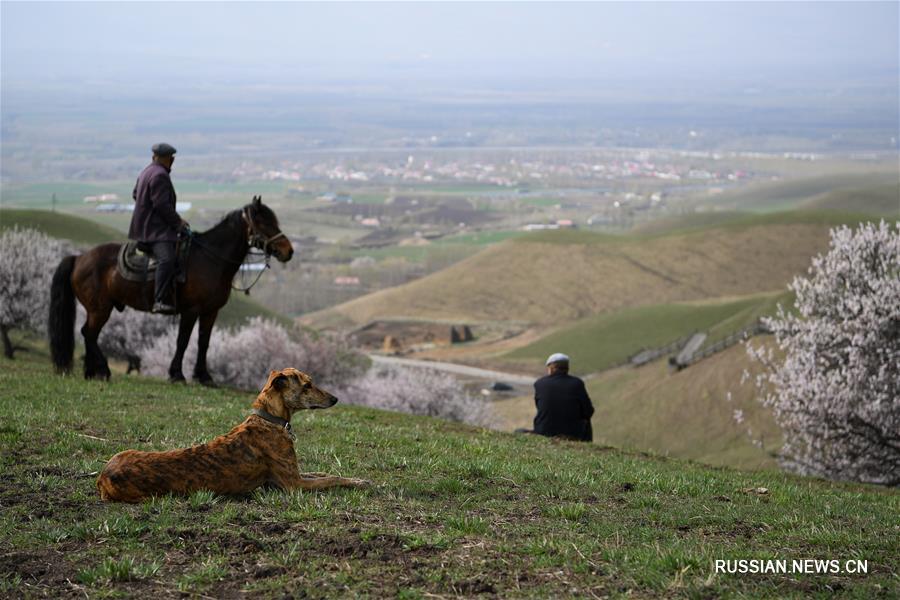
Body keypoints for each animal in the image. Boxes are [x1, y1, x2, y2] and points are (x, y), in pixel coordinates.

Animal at [47, 197, 294, 384]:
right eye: (264, 223)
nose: (288, 251)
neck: (210, 259)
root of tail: (79, 258)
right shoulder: (191, 311)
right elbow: (182, 341)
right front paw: (177, 374)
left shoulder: (210, 312)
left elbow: (204, 342)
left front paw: (204, 377)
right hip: (100, 309)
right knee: (89, 333)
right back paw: (103, 371)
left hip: (97, 309)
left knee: (88, 334)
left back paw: (92, 372)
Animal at [97, 370, 366, 502]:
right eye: (307, 385)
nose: (336, 399)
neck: (268, 419)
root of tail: (102, 476)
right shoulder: (293, 484)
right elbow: (331, 480)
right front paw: (358, 482)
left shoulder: (295, 474)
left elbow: (324, 473)